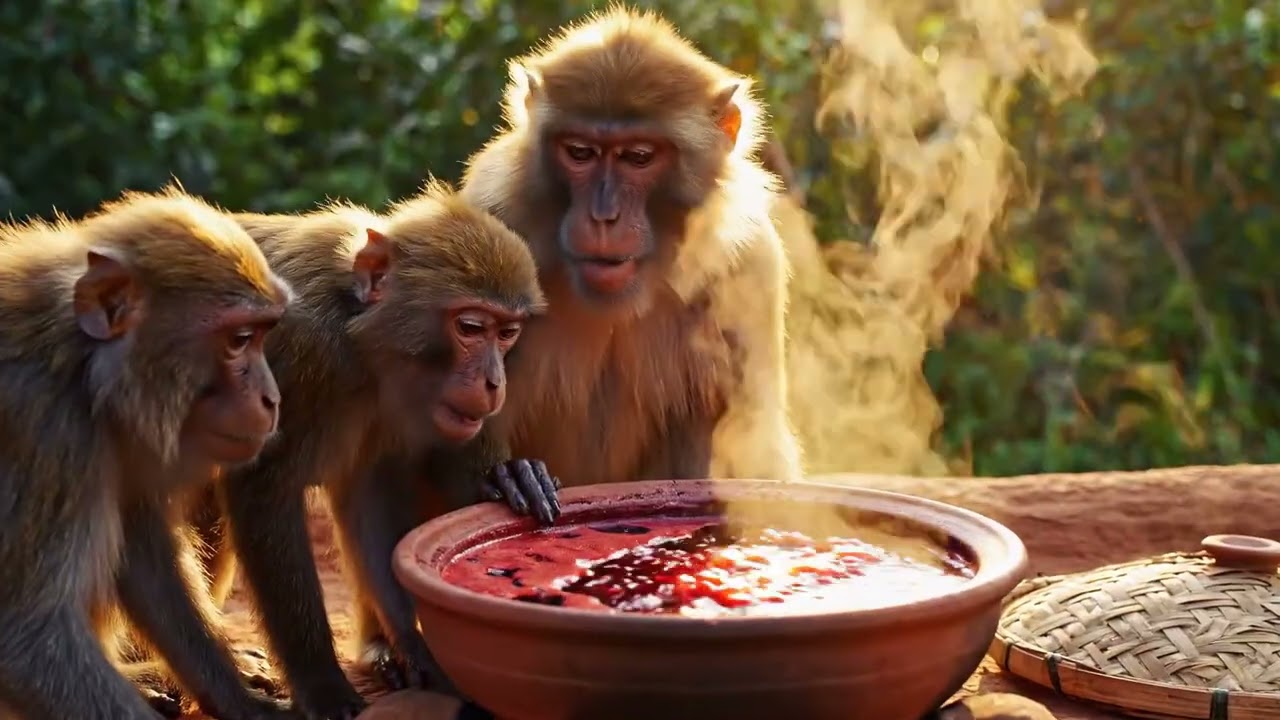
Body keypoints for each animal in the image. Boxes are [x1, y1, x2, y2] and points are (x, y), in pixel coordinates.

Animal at [0, 188, 297, 720]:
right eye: (240, 340)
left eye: (263, 334)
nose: (271, 399)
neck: (81, 367)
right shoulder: (45, 426)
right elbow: (25, 637)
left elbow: (144, 553)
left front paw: (241, 699)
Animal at [204, 182, 553, 720]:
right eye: (471, 328)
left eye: (507, 332)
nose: (495, 382)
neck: (356, 335)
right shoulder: (301, 357)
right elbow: (263, 492)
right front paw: (322, 686)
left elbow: (370, 496)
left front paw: (420, 650)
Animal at [456, 6, 804, 494]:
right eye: (580, 152)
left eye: (638, 157)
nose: (605, 217)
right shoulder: (495, 214)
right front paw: (514, 476)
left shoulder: (749, 265)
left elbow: (754, 440)